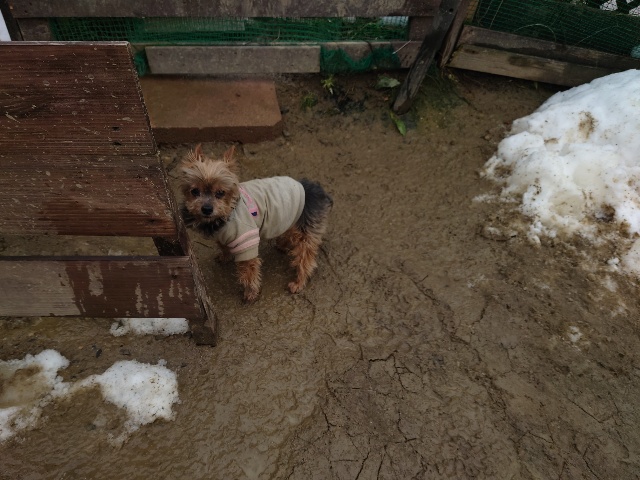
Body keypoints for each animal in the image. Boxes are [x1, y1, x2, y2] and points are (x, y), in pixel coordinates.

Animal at [179, 144, 333, 302]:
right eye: (194, 191)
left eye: (220, 193)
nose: (207, 209)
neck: (228, 210)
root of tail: (318, 190)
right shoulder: (223, 235)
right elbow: (223, 246)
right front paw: (225, 256)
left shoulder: (246, 240)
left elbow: (249, 271)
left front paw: (250, 292)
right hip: (291, 217)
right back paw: (282, 245)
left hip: (305, 229)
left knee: (305, 259)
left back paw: (298, 282)